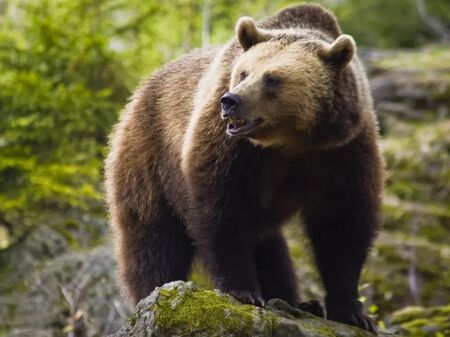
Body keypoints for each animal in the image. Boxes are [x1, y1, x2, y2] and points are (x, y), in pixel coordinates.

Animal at [105, 3, 384, 332]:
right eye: (243, 72)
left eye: (272, 78)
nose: (231, 100)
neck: (289, 142)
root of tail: (140, 90)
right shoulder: (229, 148)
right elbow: (221, 211)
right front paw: (242, 291)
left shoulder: (341, 151)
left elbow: (342, 222)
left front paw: (352, 311)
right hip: (148, 155)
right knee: (153, 235)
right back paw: (153, 289)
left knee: (270, 247)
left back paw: (297, 301)